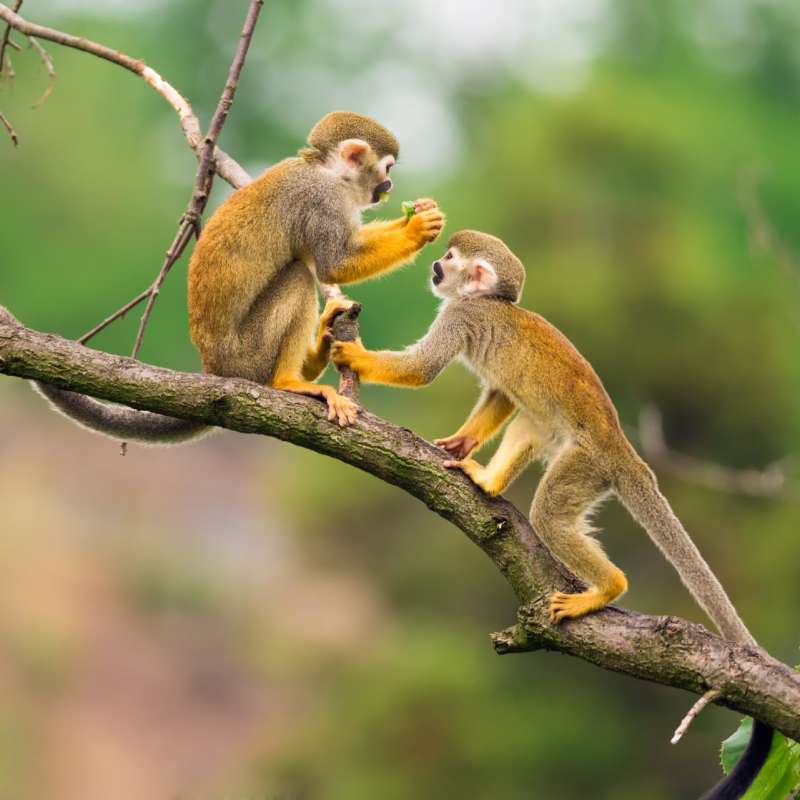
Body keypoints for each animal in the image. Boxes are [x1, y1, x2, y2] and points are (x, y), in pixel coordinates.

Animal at [34, 111, 445, 440]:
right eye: (387, 169)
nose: (389, 187)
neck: (326, 172)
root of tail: (214, 370)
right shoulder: (322, 200)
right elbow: (334, 264)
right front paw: (416, 228)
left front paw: (421, 213)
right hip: (248, 355)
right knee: (298, 277)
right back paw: (289, 381)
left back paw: (317, 353)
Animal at [331, 229, 772, 800]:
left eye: (449, 259)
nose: (433, 267)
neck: (489, 303)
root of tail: (624, 450)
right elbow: (499, 394)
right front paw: (462, 442)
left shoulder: (462, 316)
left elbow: (423, 369)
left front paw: (355, 355)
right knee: (531, 417)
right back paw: (489, 482)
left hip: (587, 464)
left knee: (550, 514)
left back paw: (607, 589)